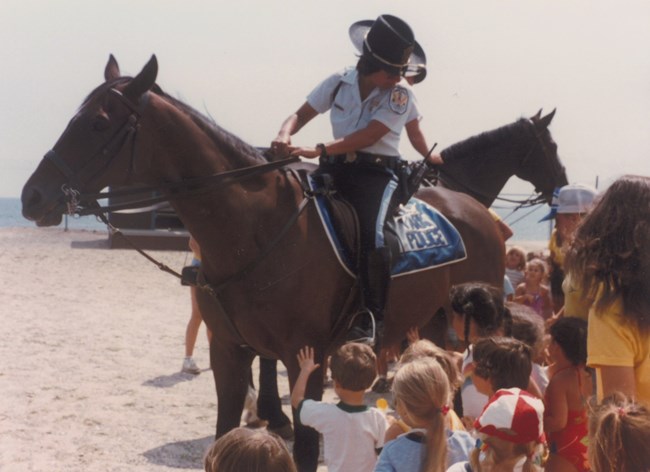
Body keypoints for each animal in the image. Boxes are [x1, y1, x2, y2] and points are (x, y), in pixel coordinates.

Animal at [22, 56, 506, 472]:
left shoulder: (308, 357)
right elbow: (223, 435)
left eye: (98, 122)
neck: (258, 229)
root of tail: (478, 212)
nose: (32, 196)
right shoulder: (228, 351)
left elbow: (307, 450)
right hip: (435, 322)